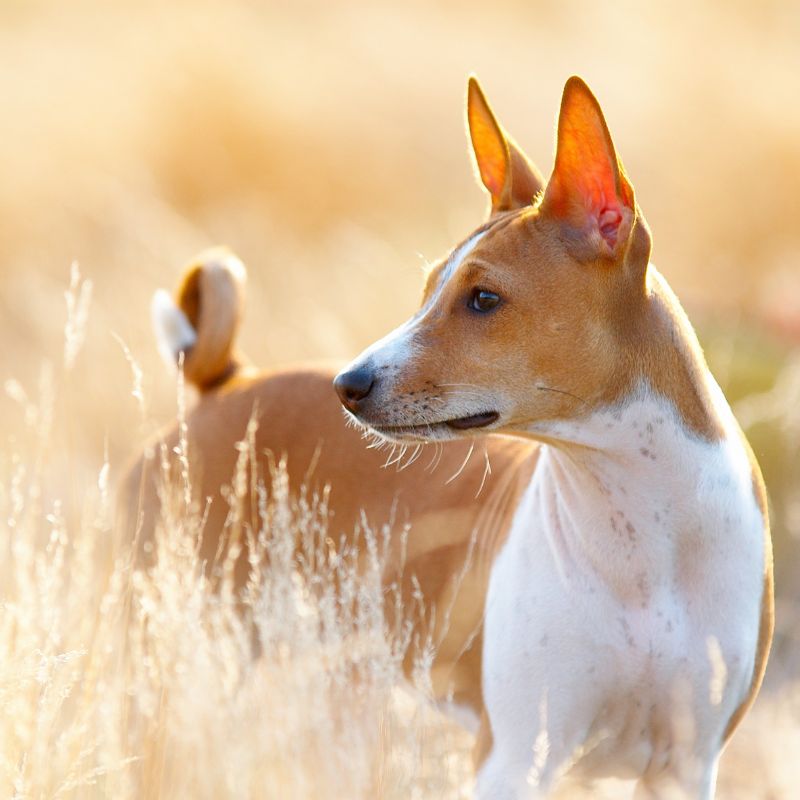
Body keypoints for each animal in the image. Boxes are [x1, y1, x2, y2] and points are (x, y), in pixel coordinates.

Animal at [126, 76, 776, 800]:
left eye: (484, 299)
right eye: (429, 287)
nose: (348, 384)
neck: (640, 534)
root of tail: (227, 383)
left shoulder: (685, 765)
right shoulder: (515, 757)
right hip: (180, 660)